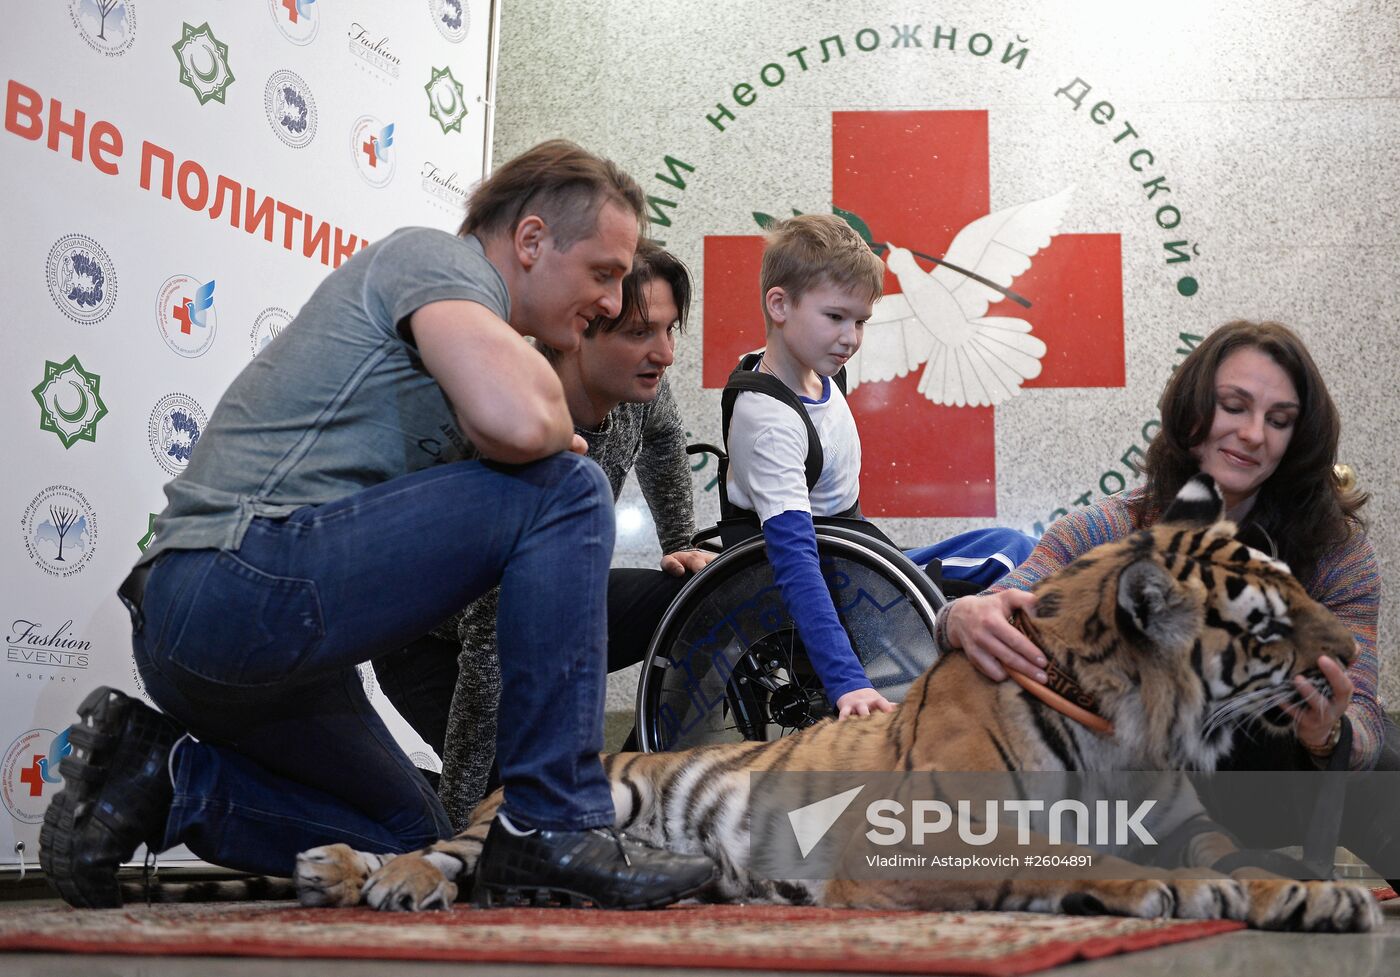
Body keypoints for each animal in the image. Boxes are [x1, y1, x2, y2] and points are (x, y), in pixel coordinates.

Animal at [292, 475, 1377, 935]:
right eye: (1268, 627)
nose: (1350, 657)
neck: (1131, 732)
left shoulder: (1185, 821)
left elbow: (1238, 857)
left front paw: (1316, 891)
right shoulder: (935, 839)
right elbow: (1077, 856)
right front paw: (1167, 892)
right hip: (550, 808)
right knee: (446, 848)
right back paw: (369, 874)